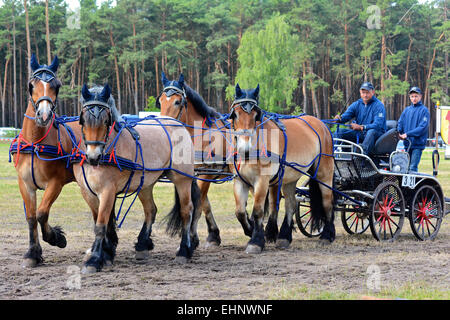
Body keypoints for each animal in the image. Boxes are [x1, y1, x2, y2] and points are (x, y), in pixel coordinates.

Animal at [11, 55, 77, 268]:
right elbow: (31, 217)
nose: (44, 114)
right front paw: (32, 253)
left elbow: (42, 213)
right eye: (31, 85)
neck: (35, 143)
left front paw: (56, 237)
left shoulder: (55, 183)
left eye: (57, 85)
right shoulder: (25, 184)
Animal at [76, 83, 200, 272]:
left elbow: (101, 225)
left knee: (186, 210)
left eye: (105, 121)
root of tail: (177, 124)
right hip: (145, 183)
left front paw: (94, 260)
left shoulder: (107, 191)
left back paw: (184, 251)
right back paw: (142, 245)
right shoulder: (88, 193)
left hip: (182, 179)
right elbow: (104, 222)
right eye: (83, 121)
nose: (93, 157)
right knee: (151, 210)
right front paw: (106, 254)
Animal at [157, 72, 229, 248]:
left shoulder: (206, 174)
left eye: (177, 101)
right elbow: (204, 204)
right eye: (160, 100)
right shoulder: (194, 174)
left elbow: (198, 205)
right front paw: (213, 235)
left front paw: (191, 238)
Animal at [229, 84, 334, 254]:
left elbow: (257, 210)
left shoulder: (262, 180)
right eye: (236, 114)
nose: (245, 149)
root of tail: (322, 124)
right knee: (291, 204)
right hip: (290, 177)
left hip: (324, 173)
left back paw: (327, 235)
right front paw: (252, 231)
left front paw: (256, 241)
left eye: (256, 115)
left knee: (327, 202)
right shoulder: (239, 180)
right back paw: (284, 237)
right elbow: (240, 211)